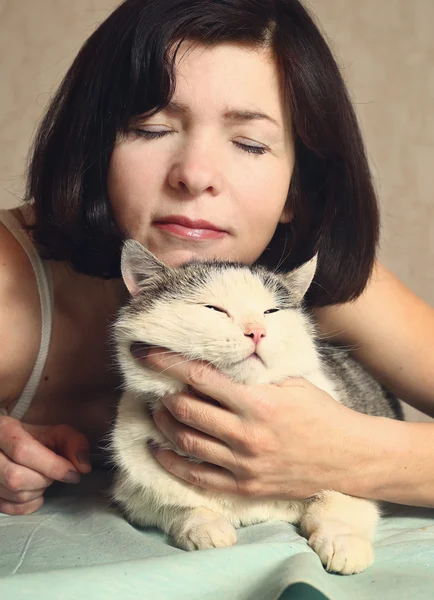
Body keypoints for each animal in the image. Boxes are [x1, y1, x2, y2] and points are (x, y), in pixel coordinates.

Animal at [109, 239, 404, 576]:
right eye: (213, 309)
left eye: (271, 311)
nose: (257, 331)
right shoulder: (134, 492)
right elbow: (176, 505)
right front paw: (204, 527)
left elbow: (338, 502)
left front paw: (343, 543)